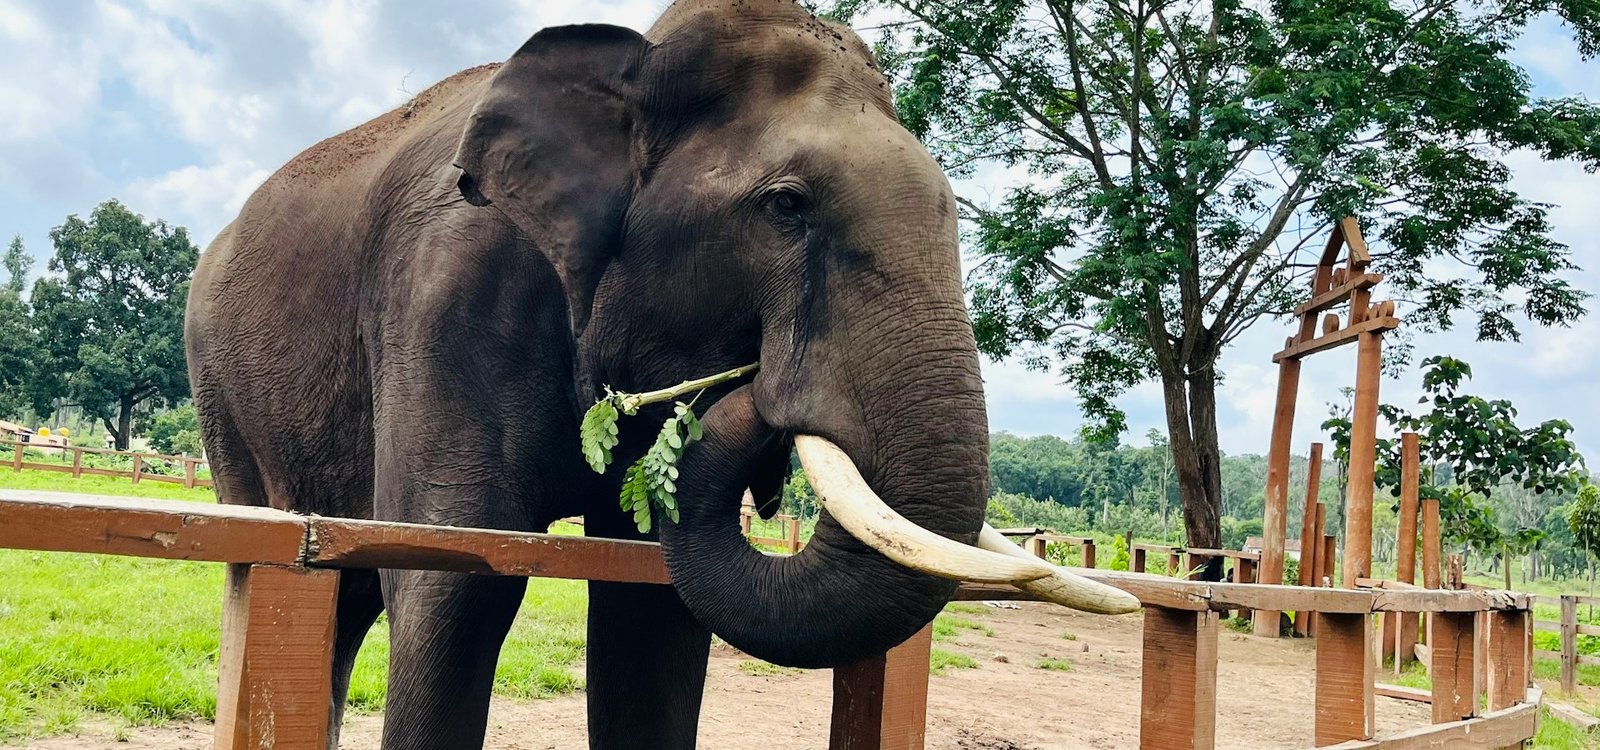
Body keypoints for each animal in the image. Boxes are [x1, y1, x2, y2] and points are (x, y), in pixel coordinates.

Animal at [184, 1, 1121, 747]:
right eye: (786, 206)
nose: (755, 388)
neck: (634, 62)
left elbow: (652, 610)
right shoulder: (444, 299)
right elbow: (454, 579)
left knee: (343, 598)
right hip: (220, 392)